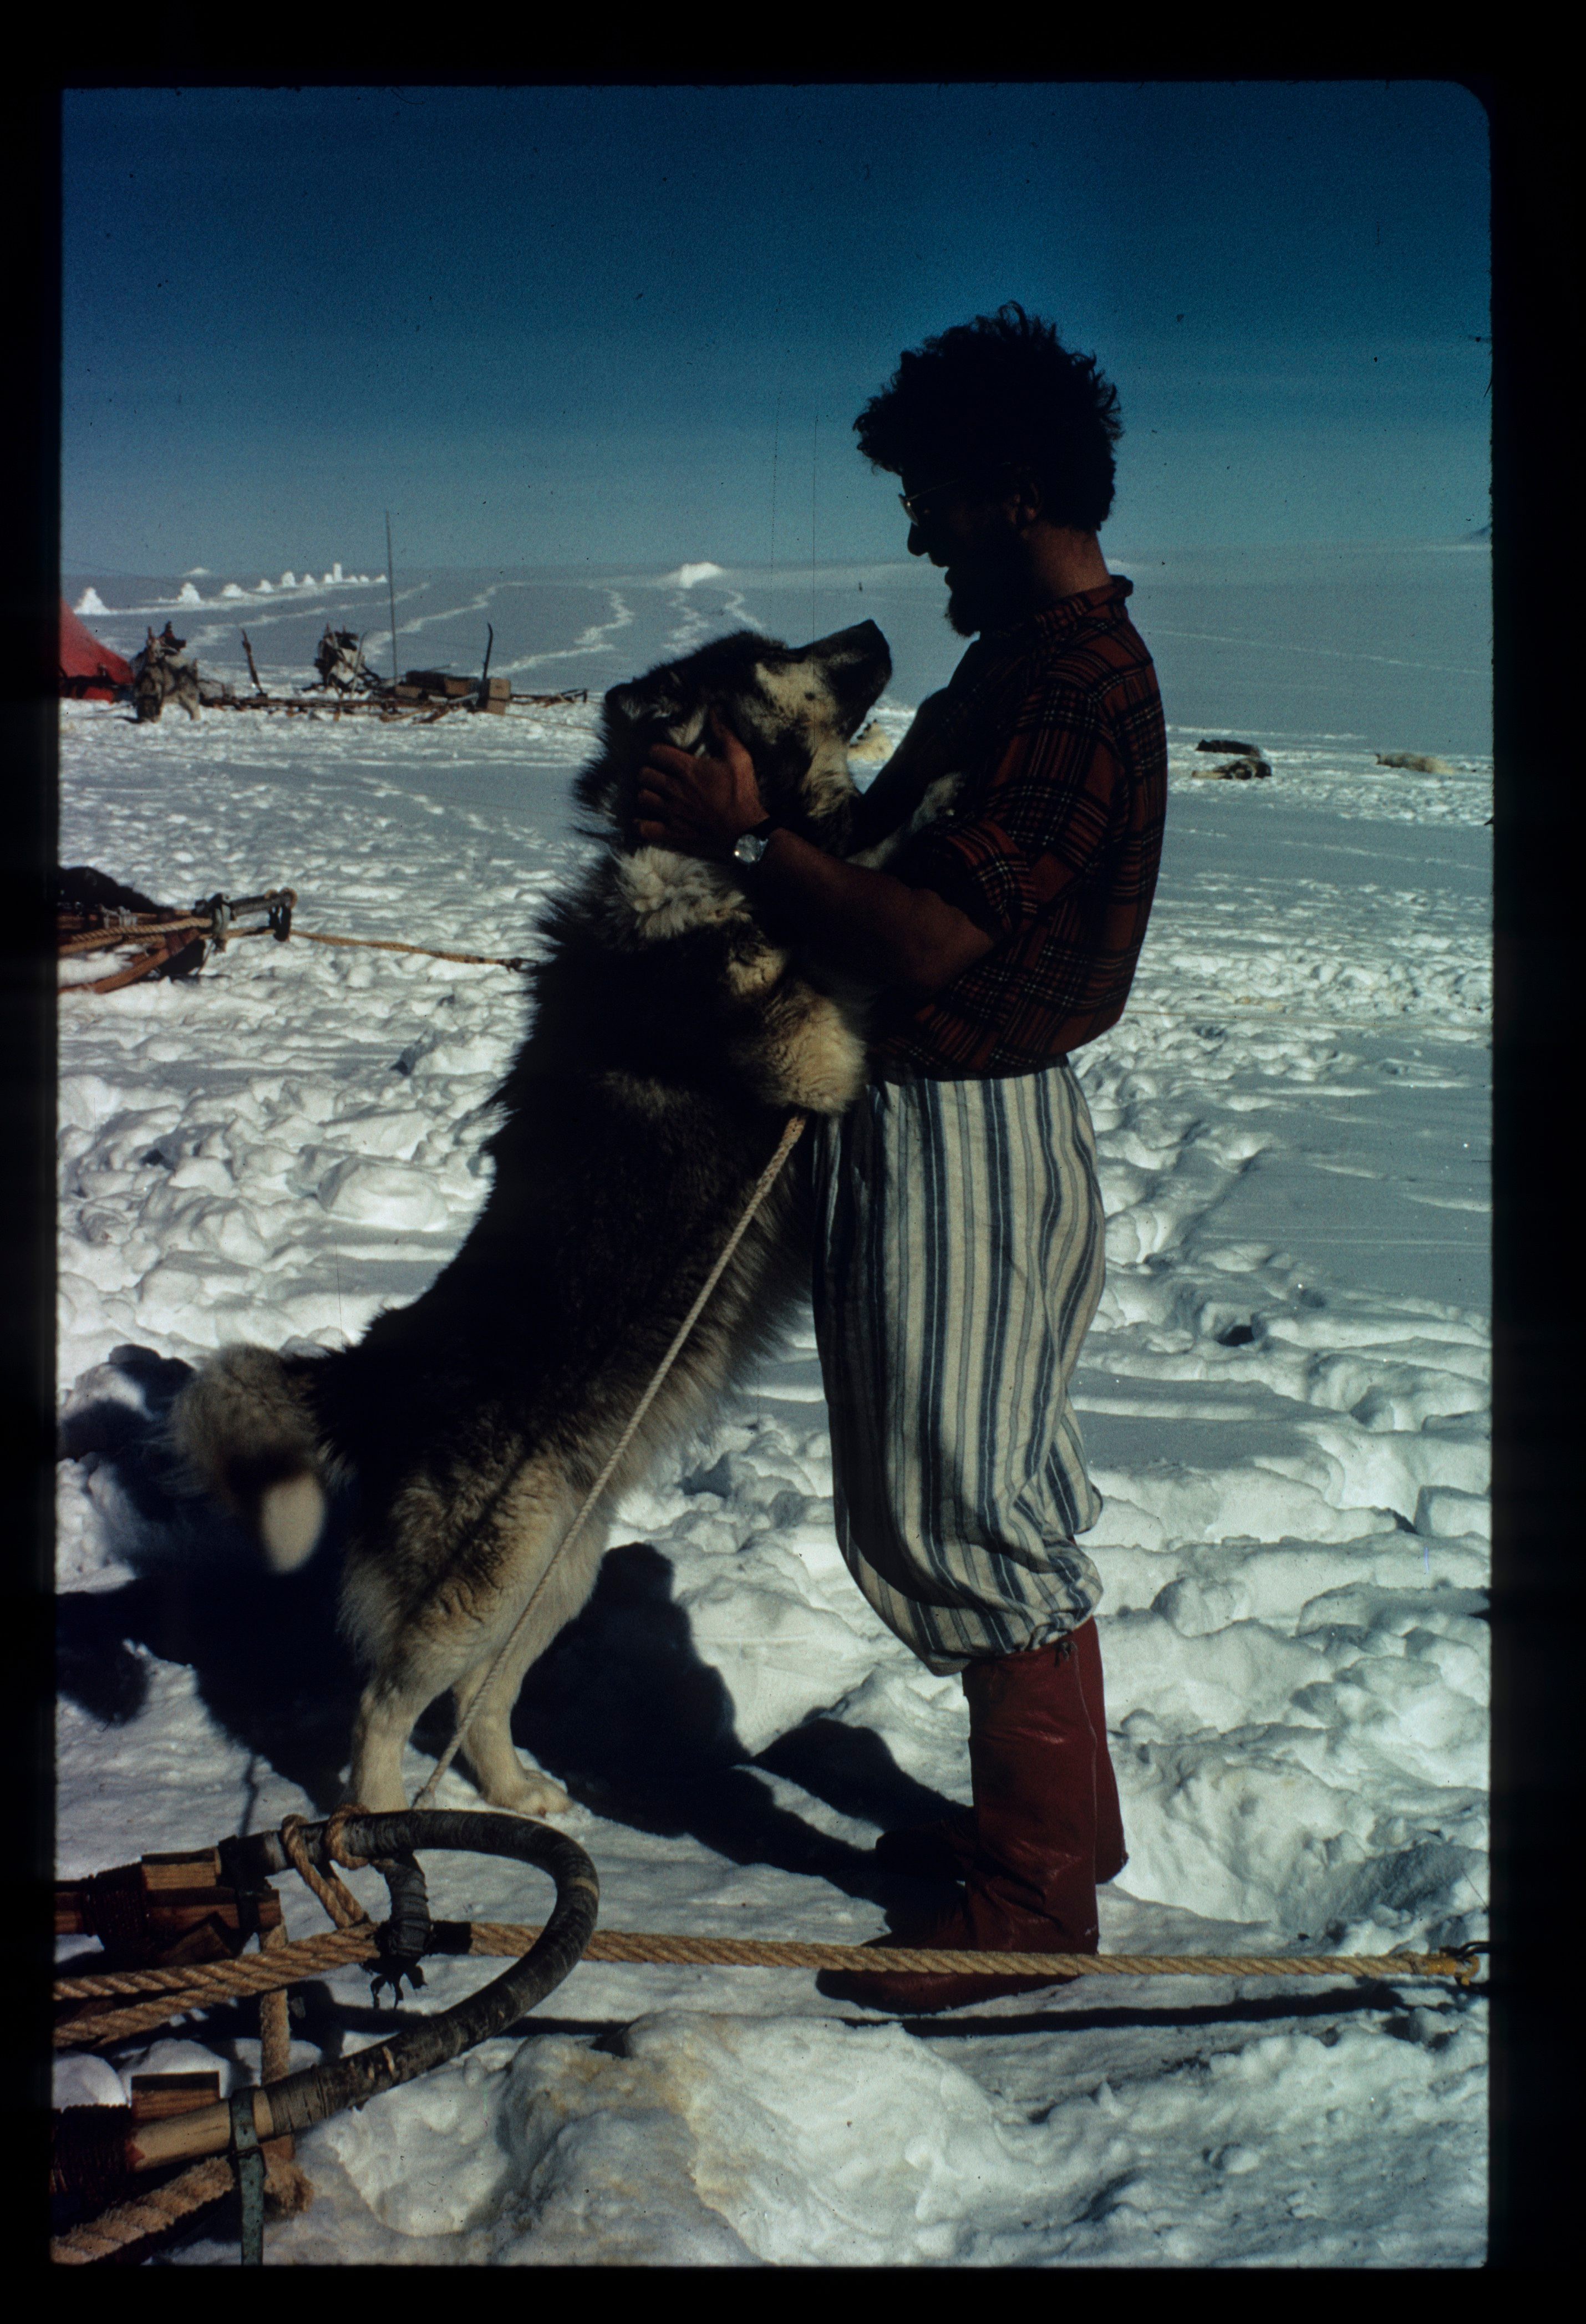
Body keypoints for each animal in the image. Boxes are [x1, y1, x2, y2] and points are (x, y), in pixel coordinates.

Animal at [173, 618, 958, 1812]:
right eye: (769, 654)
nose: (872, 629)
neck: (711, 863)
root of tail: (374, 1372)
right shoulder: (810, 1051)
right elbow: (850, 891)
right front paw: (925, 806)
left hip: (554, 1564)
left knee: (479, 1696)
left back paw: (519, 1800)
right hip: (487, 1573)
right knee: (388, 1697)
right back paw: (382, 1823)